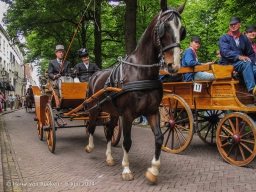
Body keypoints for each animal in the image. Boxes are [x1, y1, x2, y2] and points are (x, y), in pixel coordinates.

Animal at [84, 0, 186, 183]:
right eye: (164, 27)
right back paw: (90, 147)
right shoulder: (128, 114)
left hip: (113, 112)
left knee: (109, 131)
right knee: (91, 126)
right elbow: (127, 141)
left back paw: (109, 158)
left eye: (182, 31)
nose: (173, 66)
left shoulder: (152, 111)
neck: (141, 72)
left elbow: (159, 138)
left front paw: (153, 170)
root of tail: (94, 75)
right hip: (94, 108)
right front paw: (126, 169)